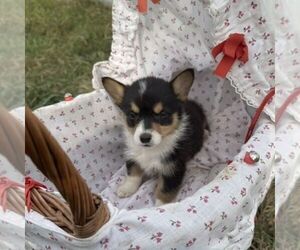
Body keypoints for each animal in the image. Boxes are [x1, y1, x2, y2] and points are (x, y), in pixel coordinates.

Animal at [102, 68, 207, 205]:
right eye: (132, 115)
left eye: (162, 114)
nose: (144, 138)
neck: (150, 150)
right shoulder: (132, 156)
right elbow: (133, 173)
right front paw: (126, 189)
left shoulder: (172, 169)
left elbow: (165, 190)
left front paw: (161, 206)